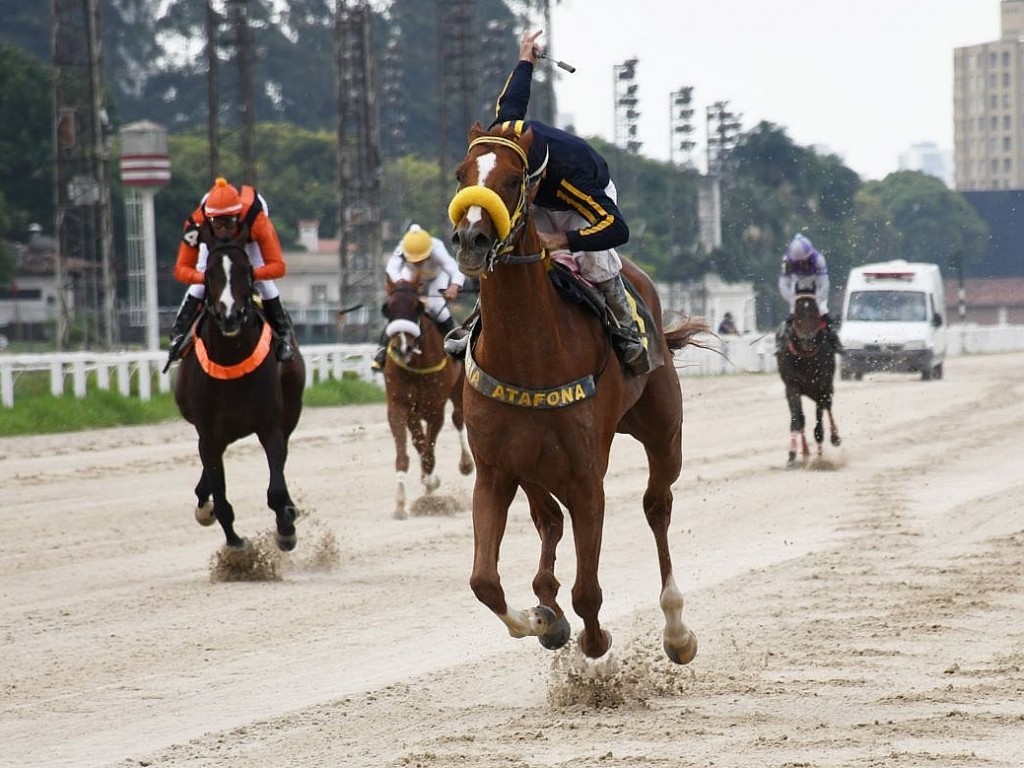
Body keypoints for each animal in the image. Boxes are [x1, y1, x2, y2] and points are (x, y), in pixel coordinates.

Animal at [173, 243, 303, 548]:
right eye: (210, 273)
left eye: (245, 271)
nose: (229, 315)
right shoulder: (208, 432)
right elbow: (220, 498)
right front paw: (235, 545)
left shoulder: (270, 426)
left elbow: (276, 490)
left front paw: (286, 528)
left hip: (290, 411)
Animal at [382, 280, 473, 520]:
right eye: (387, 309)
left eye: (417, 308)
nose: (401, 347)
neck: (415, 365)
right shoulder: (399, 406)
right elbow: (407, 452)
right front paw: (400, 504)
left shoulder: (435, 409)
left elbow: (429, 453)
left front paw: (431, 482)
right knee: (420, 441)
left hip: (458, 390)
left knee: (458, 417)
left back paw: (466, 464)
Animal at [452, 123, 708, 663]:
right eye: (462, 174)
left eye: (512, 180)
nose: (470, 239)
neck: (529, 355)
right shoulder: (495, 470)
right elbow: (484, 581)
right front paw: (542, 619)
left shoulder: (588, 476)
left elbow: (588, 589)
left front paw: (594, 642)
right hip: (533, 467)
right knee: (548, 519)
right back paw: (548, 603)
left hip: (663, 431)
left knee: (657, 505)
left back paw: (676, 629)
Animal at [774, 288, 839, 468]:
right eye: (797, 311)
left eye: (815, 310)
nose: (808, 339)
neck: (804, 357)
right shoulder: (792, 387)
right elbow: (797, 420)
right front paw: (792, 456)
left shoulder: (821, 387)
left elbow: (819, 427)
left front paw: (820, 460)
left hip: (826, 388)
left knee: (828, 407)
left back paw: (835, 437)